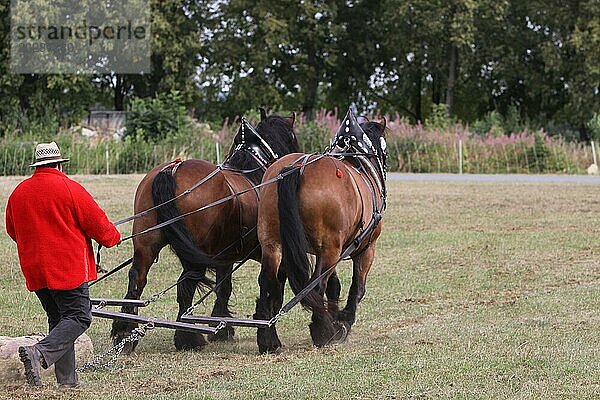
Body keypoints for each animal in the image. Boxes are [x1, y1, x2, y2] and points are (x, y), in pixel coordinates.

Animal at [110, 111, 298, 352]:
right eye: (293, 138)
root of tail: (172, 170)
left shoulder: (226, 257)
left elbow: (224, 287)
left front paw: (222, 326)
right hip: (194, 255)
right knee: (186, 284)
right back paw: (188, 338)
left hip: (147, 243)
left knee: (137, 279)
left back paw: (125, 331)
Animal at [254, 108, 386, 354]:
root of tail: (295, 169)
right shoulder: (366, 248)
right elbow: (357, 288)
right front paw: (343, 321)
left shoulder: (328, 249)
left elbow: (335, 285)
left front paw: (336, 317)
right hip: (331, 250)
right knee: (315, 285)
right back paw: (323, 331)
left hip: (274, 244)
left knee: (269, 283)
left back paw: (268, 339)